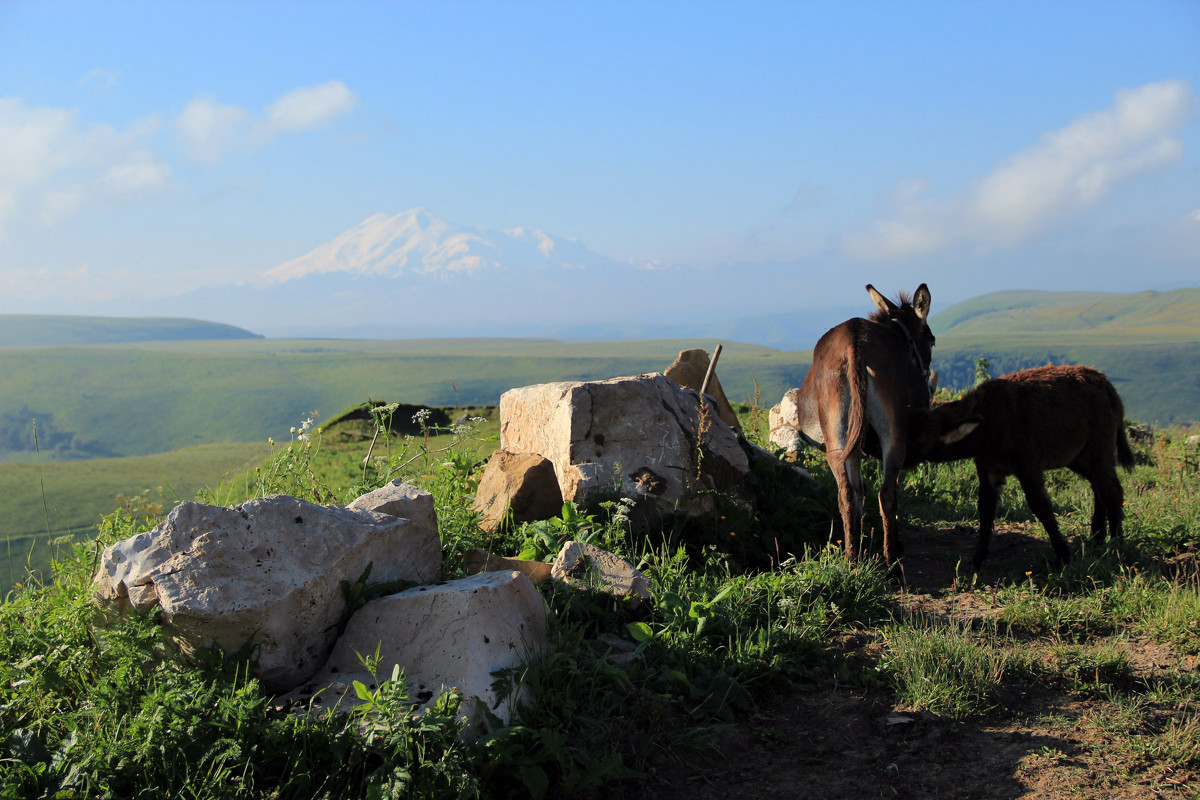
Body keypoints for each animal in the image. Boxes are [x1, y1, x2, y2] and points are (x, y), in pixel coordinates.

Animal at [796, 284, 936, 566]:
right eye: (931, 339)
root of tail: (855, 341)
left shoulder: (852, 449)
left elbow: (859, 492)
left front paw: (859, 544)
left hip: (837, 441)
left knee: (847, 495)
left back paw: (852, 561)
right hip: (893, 434)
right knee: (887, 493)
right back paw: (892, 562)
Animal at [907, 367, 1132, 573]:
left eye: (917, 441)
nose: (899, 459)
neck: (987, 421)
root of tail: (1107, 385)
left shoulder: (1027, 466)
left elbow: (1040, 505)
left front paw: (1064, 556)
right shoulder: (989, 469)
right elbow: (986, 508)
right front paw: (977, 561)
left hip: (1098, 447)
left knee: (1111, 491)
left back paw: (1116, 545)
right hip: (1078, 457)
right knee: (1099, 487)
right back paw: (1097, 538)